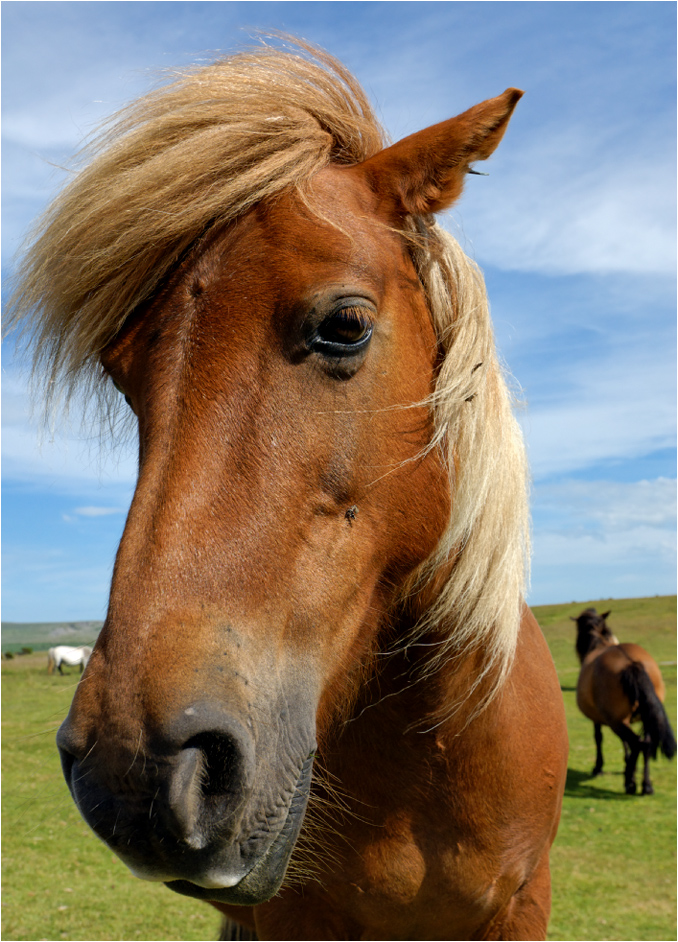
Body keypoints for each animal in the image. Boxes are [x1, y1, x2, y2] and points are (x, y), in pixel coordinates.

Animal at [572, 612, 676, 796]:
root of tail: (631, 662)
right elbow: (624, 744)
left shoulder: (598, 719)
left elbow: (599, 738)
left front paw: (598, 767)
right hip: (645, 717)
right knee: (646, 744)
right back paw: (646, 785)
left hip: (617, 721)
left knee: (636, 743)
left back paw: (630, 782)